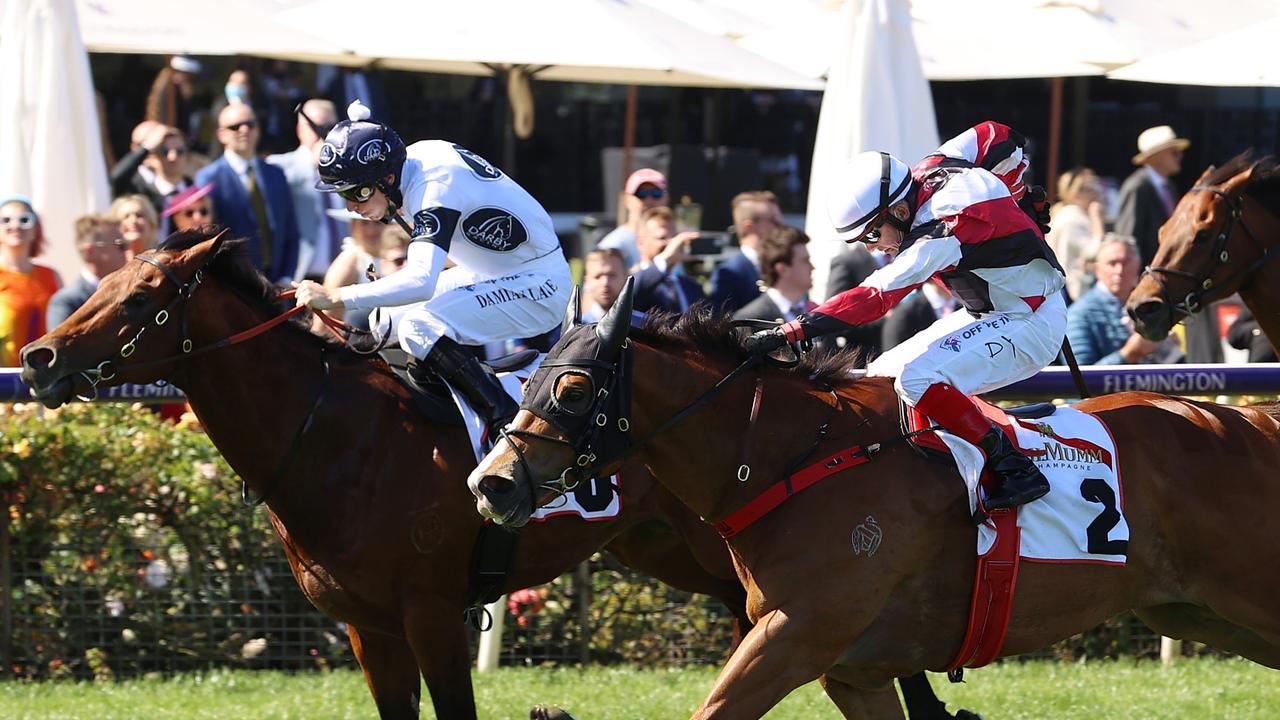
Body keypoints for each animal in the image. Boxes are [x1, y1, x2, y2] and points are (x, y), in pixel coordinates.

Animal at [476, 281, 1280, 717]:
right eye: (530, 375)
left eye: (573, 389)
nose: (492, 481)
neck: (792, 457)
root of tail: (1251, 422)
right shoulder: (852, 668)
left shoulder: (796, 636)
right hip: (1201, 612)